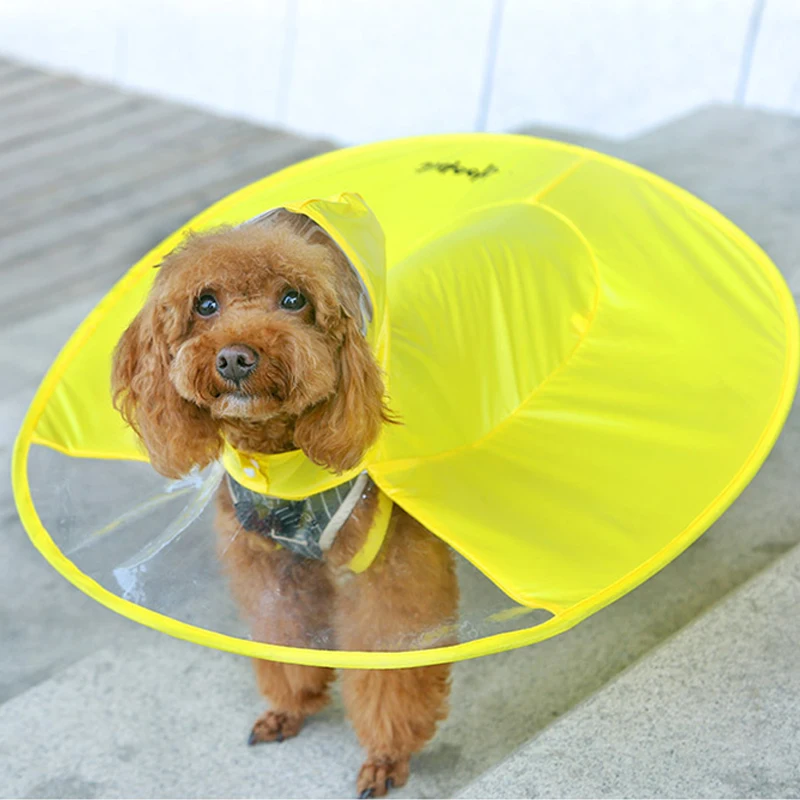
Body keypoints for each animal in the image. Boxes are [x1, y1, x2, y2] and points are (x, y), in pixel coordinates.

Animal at [115, 209, 460, 796]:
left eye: (294, 298)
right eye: (206, 304)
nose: (235, 357)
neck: (281, 465)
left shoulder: (386, 566)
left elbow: (387, 664)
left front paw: (387, 753)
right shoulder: (269, 566)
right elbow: (284, 635)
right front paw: (289, 707)